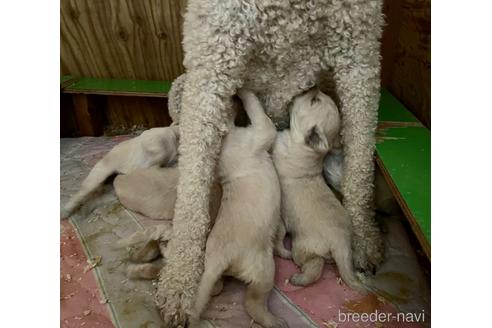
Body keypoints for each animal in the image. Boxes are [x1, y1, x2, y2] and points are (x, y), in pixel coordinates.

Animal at [190, 89, 286, 328]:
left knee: (214, 287)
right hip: (264, 269)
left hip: (214, 270)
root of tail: (219, 259)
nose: (232, 97)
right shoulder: (259, 132)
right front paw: (244, 90)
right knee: (253, 302)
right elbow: (257, 109)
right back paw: (274, 321)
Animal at [274, 87, 368, 292]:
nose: (313, 86)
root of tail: (341, 243)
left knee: (314, 266)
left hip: (303, 246)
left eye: (314, 100)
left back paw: (298, 279)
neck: (310, 151)